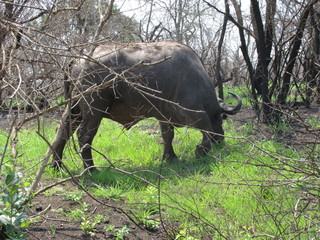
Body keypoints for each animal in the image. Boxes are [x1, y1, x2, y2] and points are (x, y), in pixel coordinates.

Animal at [52, 41, 240, 169]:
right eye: (222, 117)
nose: (221, 140)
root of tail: (78, 60)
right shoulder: (195, 112)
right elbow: (207, 131)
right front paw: (200, 151)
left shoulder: (164, 116)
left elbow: (168, 136)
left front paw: (170, 157)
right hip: (94, 110)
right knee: (84, 136)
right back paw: (91, 169)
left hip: (74, 109)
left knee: (62, 131)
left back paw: (57, 165)